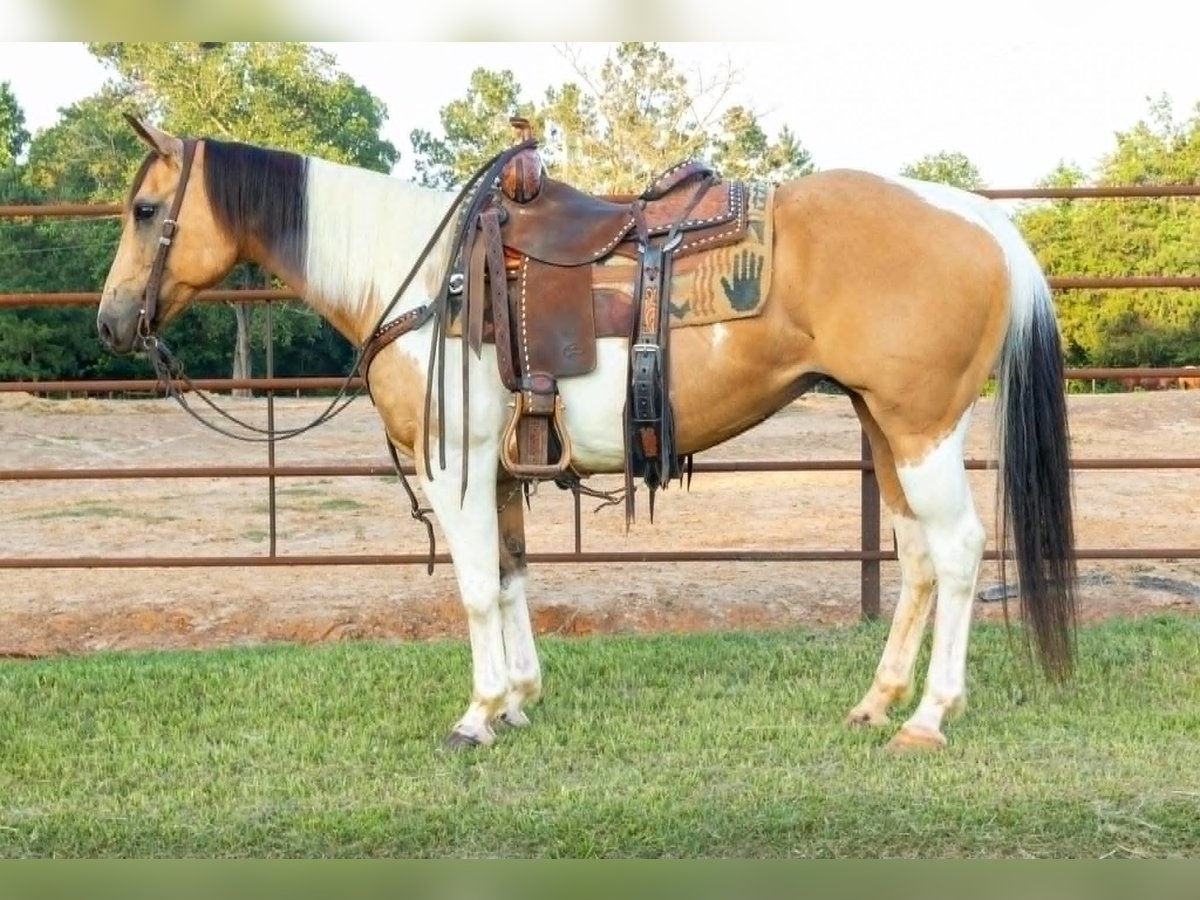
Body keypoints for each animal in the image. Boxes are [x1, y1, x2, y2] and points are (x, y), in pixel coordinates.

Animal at [96, 115, 1078, 752]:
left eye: (145, 211)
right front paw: (520, 700)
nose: (109, 323)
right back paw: (878, 703)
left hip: (922, 427)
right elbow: (513, 579)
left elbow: (475, 592)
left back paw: (928, 718)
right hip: (884, 427)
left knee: (959, 552)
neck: (429, 279)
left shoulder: (456, 472)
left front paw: (478, 714)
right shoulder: (499, 473)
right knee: (917, 558)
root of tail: (981, 218)